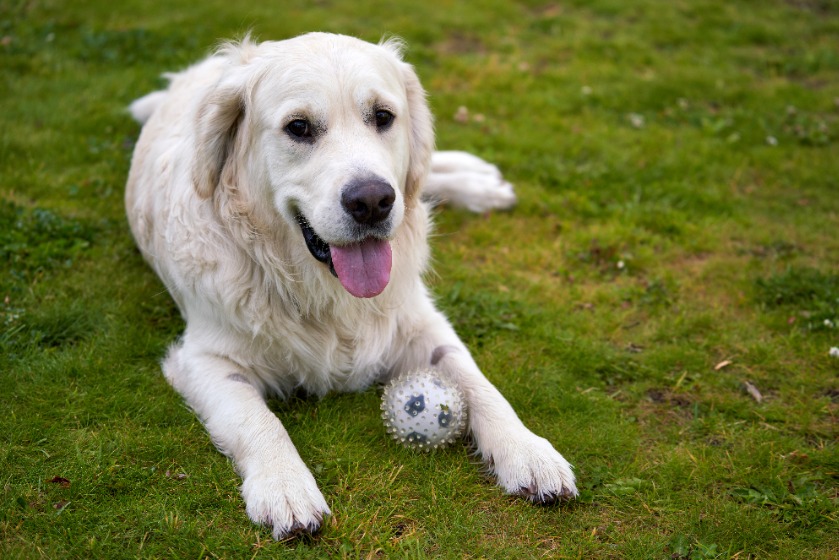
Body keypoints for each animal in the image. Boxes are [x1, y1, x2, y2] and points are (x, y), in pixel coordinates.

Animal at [128, 32, 576, 540]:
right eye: (299, 127)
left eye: (382, 117)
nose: (374, 201)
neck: (321, 288)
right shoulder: (204, 358)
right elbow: (257, 420)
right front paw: (285, 488)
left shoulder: (420, 322)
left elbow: (480, 384)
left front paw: (530, 452)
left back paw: (480, 182)